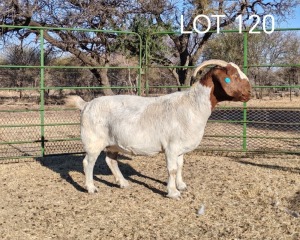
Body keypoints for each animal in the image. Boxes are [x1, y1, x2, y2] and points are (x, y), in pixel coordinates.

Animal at [65, 58, 251, 199]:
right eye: (233, 75)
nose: (249, 93)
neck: (192, 106)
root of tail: (86, 105)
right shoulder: (171, 147)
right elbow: (172, 169)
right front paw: (173, 192)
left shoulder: (180, 148)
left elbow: (181, 166)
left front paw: (181, 185)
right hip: (93, 141)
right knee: (88, 162)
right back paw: (91, 188)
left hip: (113, 143)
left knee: (110, 161)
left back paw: (123, 183)